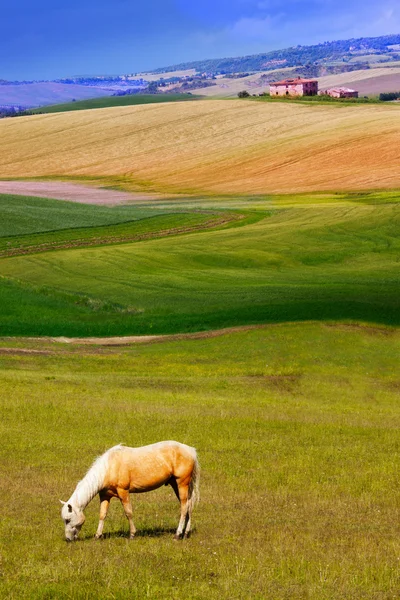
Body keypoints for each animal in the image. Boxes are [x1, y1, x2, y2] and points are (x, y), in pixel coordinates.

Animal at [60, 440, 199, 544]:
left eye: (67, 520)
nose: (68, 539)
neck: (109, 467)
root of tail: (190, 450)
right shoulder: (105, 495)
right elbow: (102, 515)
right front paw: (98, 535)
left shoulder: (123, 492)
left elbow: (128, 513)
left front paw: (132, 534)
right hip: (176, 485)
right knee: (188, 506)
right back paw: (185, 533)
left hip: (181, 484)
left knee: (184, 507)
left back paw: (177, 534)